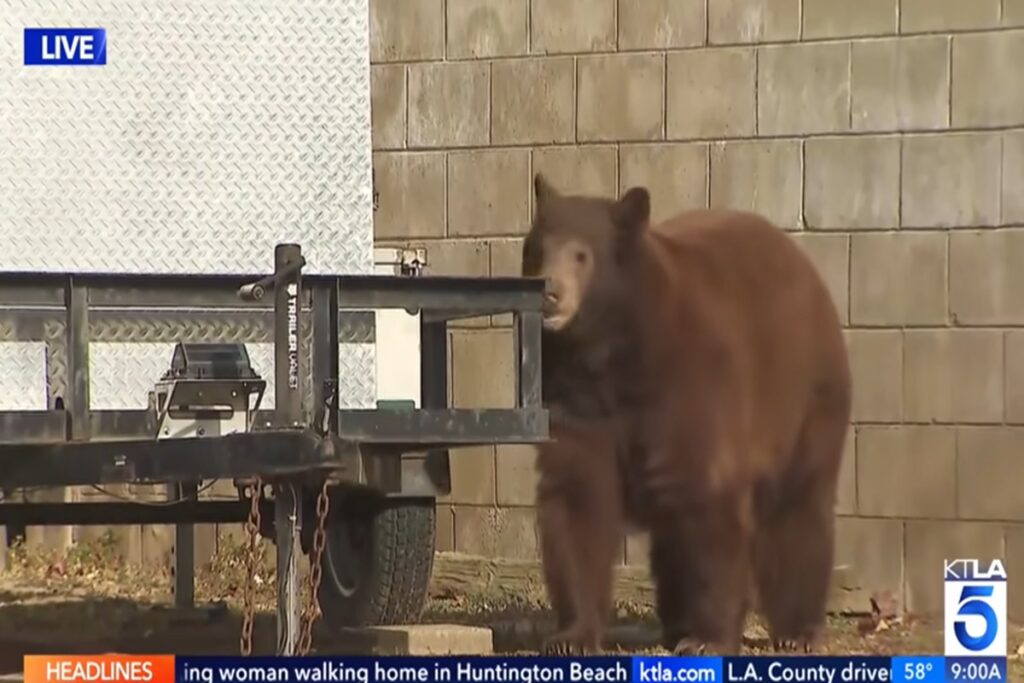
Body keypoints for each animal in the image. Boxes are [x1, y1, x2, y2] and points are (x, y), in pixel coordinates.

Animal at [522, 173, 852, 657]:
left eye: (581, 254)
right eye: (538, 248)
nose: (549, 292)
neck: (613, 349)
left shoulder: (693, 381)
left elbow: (709, 501)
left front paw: (707, 639)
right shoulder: (576, 395)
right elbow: (578, 497)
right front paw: (571, 636)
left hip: (807, 399)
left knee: (798, 509)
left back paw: (797, 630)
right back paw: (676, 623)